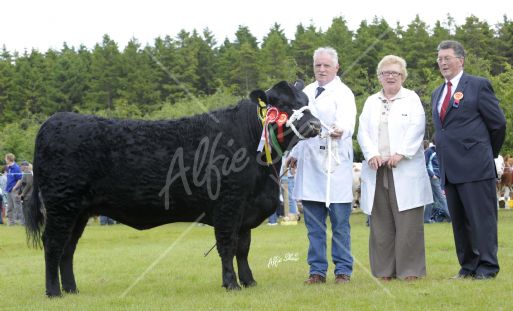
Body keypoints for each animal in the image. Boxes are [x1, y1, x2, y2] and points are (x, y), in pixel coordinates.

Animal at [26, 80, 320, 298]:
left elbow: (243, 248)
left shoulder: (245, 209)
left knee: (68, 248)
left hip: (79, 211)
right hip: (61, 205)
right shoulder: (228, 205)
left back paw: (71, 289)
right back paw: (53, 292)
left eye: (306, 102)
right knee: (53, 244)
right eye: (283, 104)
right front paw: (231, 284)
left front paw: (249, 281)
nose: (315, 124)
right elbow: (227, 245)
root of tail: (54, 122)